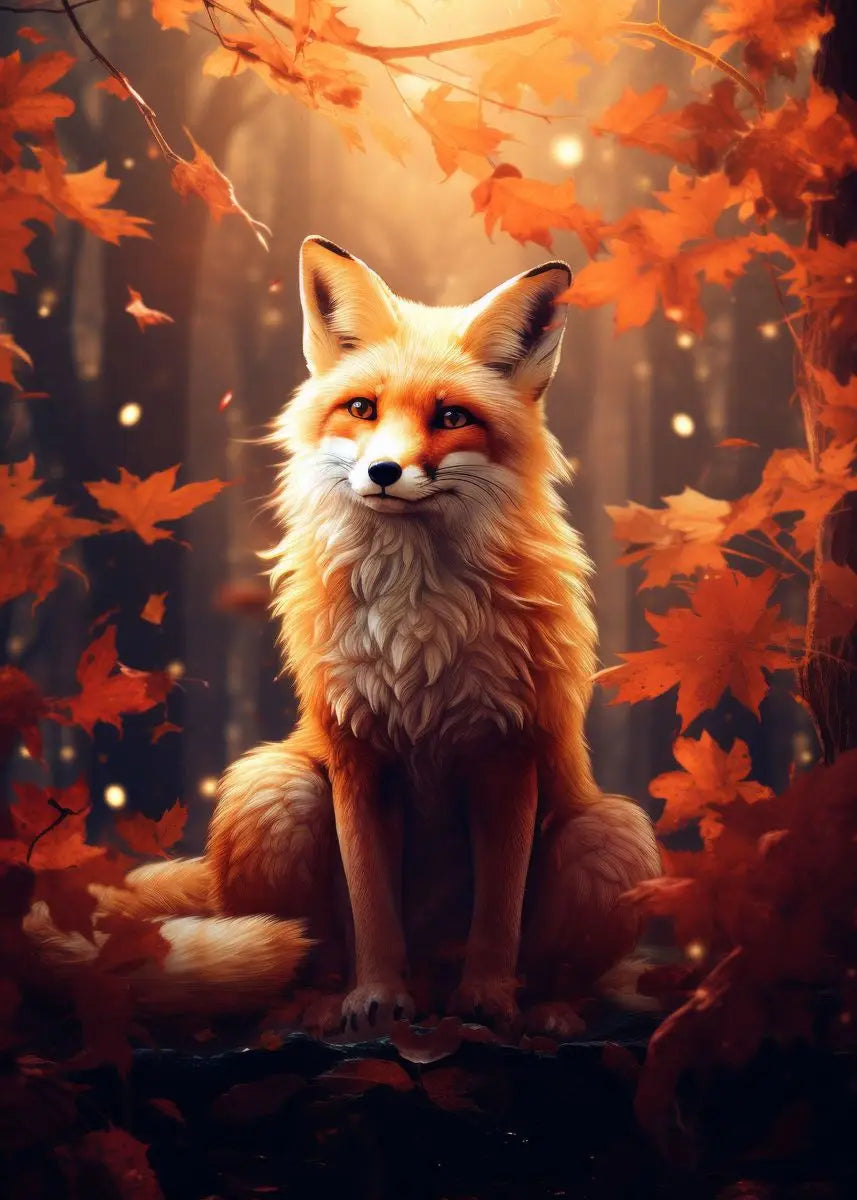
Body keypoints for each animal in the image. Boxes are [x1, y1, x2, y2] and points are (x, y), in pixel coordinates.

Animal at [29, 237, 661, 1035]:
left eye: (450, 416)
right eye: (362, 409)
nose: (385, 471)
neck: (418, 627)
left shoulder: (507, 752)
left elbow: (498, 914)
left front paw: (488, 999)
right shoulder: (356, 750)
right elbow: (371, 905)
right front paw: (378, 998)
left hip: (610, 833)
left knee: (563, 969)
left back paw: (540, 1009)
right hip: (274, 789)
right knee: (305, 954)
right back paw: (322, 1003)